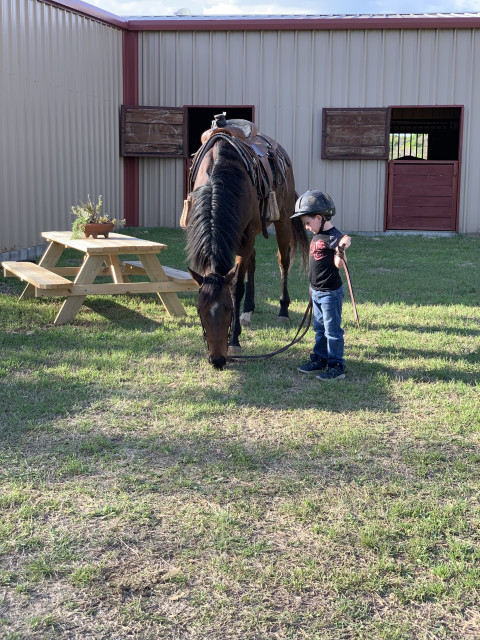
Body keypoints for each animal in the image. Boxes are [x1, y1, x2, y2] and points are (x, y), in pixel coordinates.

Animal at [187, 125, 308, 370]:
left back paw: (283, 310)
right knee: (252, 262)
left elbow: (236, 288)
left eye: (228, 310)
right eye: (200, 311)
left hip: (282, 221)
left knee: (283, 261)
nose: (217, 360)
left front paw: (235, 339)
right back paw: (249, 310)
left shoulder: (246, 236)